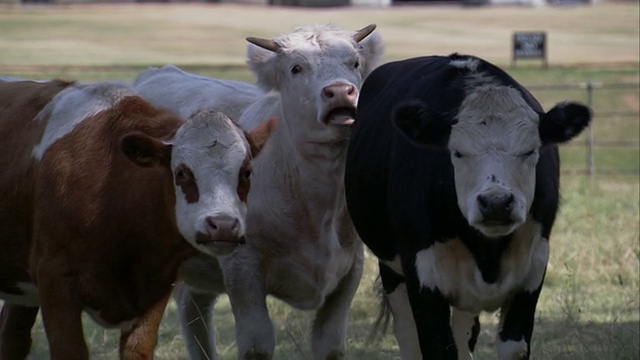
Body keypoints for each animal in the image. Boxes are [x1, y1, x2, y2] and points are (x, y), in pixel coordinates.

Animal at [344, 54, 592, 360]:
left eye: (530, 151)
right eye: (458, 152)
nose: (496, 203)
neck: (487, 252)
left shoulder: (532, 272)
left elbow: (512, 347)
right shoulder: (422, 277)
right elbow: (436, 347)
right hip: (391, 269)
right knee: (408, 336)